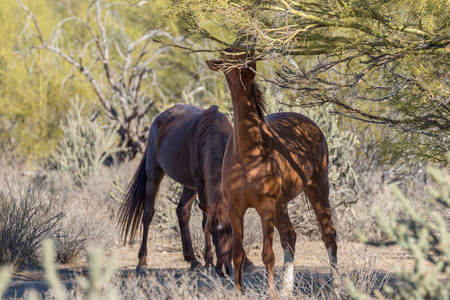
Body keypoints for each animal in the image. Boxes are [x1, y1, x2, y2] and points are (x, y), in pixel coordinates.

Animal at [118, 104, 253, 276]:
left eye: (230, 231)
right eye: (212, 231)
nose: (223, 269)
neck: (216, 133)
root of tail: (159, 118)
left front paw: (247, 262)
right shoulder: (201, 184)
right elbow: (204, 221)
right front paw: (209, 262)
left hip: (189, 185)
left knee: (182, 212)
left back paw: (193, 260)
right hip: (154, 172)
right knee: (148, 213)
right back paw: (142, 262)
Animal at [207, 50, 338, 296]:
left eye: (245, 55)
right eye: (231, 59)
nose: (249, 67)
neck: (246, 151)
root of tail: (311, 123)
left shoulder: (265, 206)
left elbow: (267, 254)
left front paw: (271, 294)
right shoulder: (234, 208)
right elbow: (237, 255)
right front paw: (239, 292)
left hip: (317, 188)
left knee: (329, 235)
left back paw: (336, 286)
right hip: (281, 204)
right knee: (290, 236)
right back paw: (287, 288)